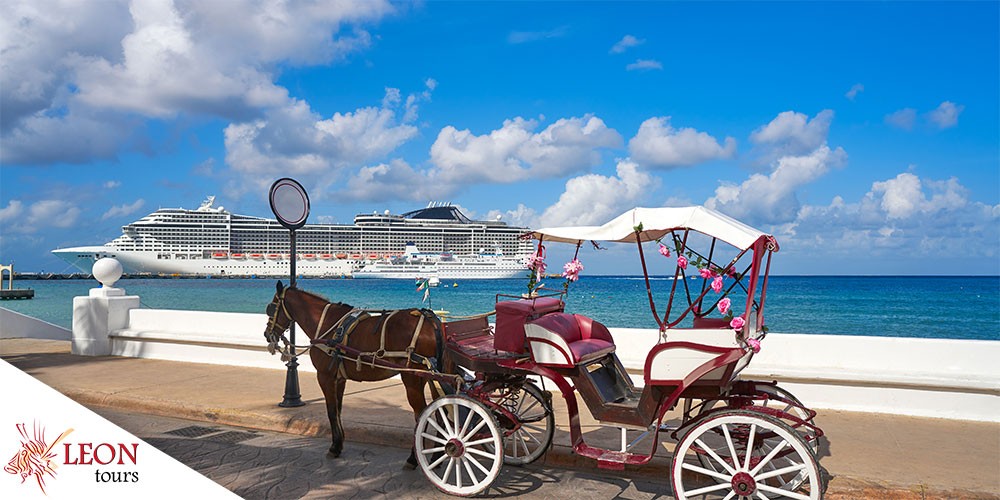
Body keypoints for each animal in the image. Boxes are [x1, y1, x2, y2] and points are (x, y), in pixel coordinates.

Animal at [266, 282, 454, 468]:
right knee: (440, 412)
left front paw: (334, 447)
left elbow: (331, 411)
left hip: (413, 377)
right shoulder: (339, 378)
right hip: (431, 377)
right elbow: (338, 410)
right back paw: (436, 456)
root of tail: (432, 321)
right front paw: (339, 443)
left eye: (271, 307)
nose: (267, 334)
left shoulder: (325, 376)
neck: (324, 323)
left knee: (422, 414)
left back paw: (414, 458)